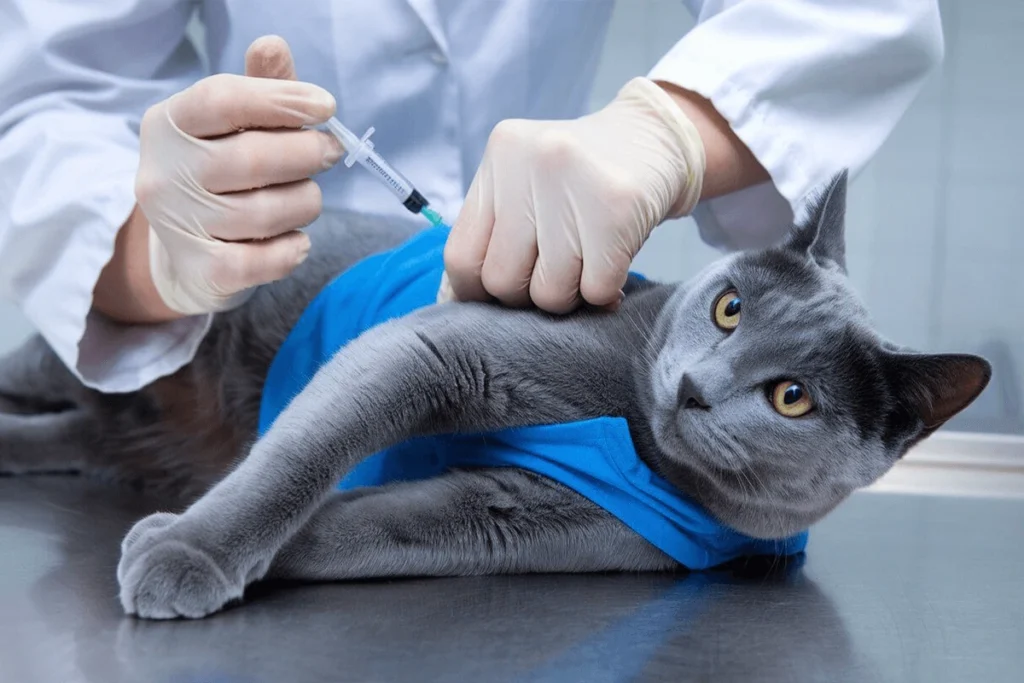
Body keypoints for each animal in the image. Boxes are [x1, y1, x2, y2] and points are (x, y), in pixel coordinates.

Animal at [0, 172, 991, 618]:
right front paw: (194, 550)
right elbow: (297, 459)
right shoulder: (437, 347)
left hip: (109, 429)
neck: (633, 434)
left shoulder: (524, 516)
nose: (696, 389)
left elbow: (361, 526)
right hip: (105, 346)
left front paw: (185, 546)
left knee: (77, 436)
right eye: (729, 307)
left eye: (793, 397)